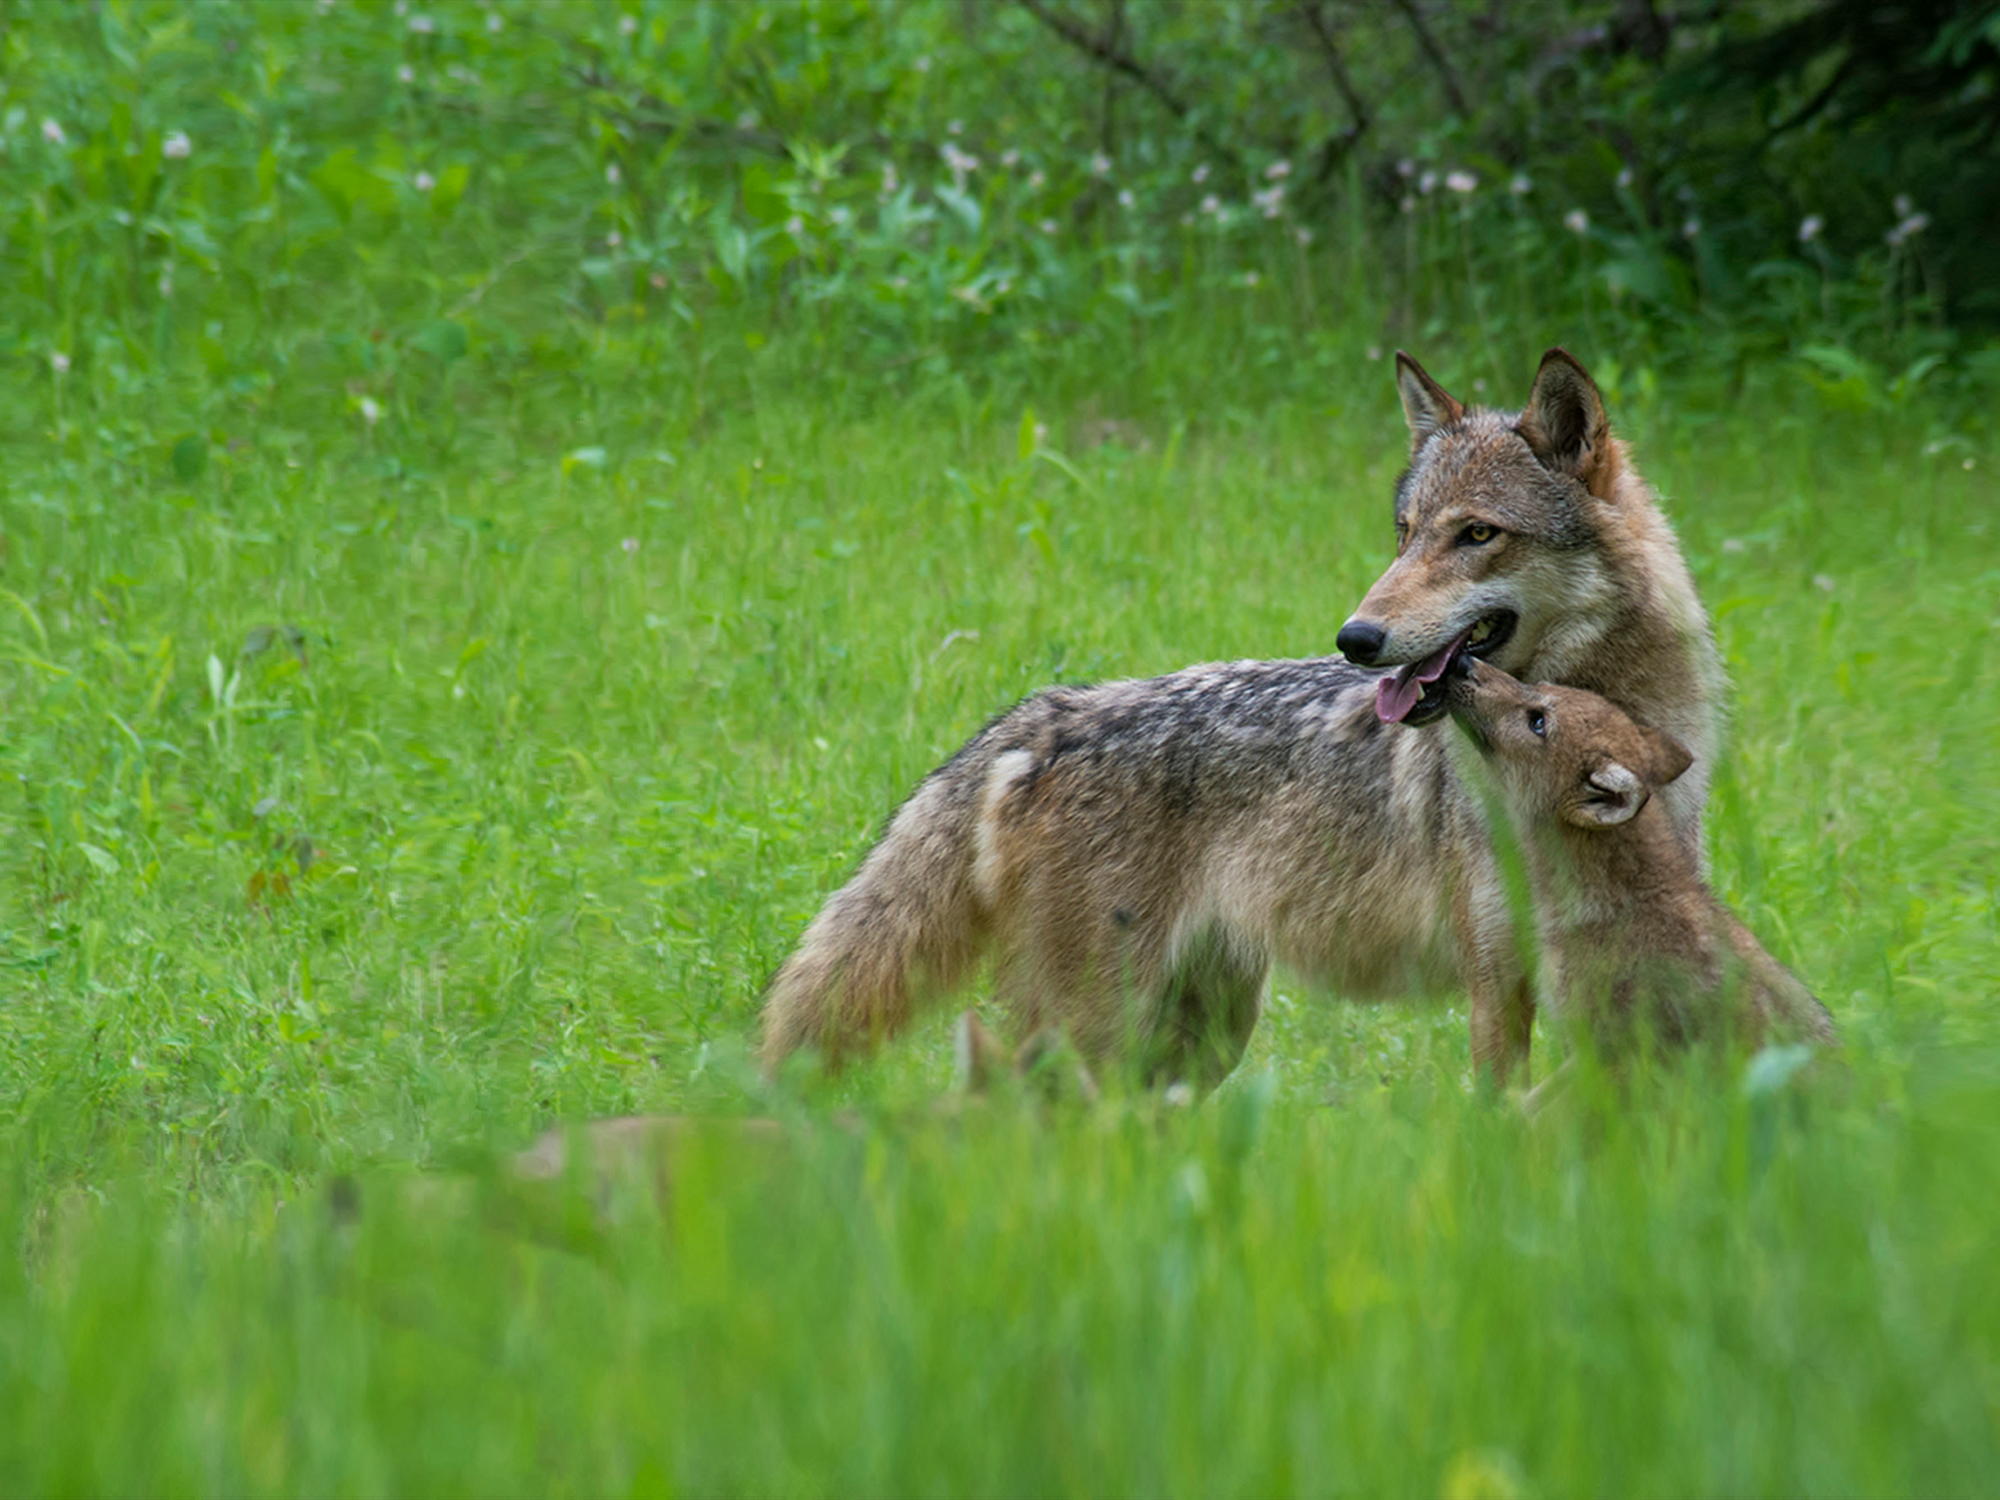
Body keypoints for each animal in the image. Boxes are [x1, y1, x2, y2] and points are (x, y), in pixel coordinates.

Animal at [756, 350, 1728, 1096]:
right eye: (1405, 532)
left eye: (1477, 534)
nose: (1355, 638)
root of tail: (1046, 715)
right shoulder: (1497, 979)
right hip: (1105, 1033)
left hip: (1197, 1038)